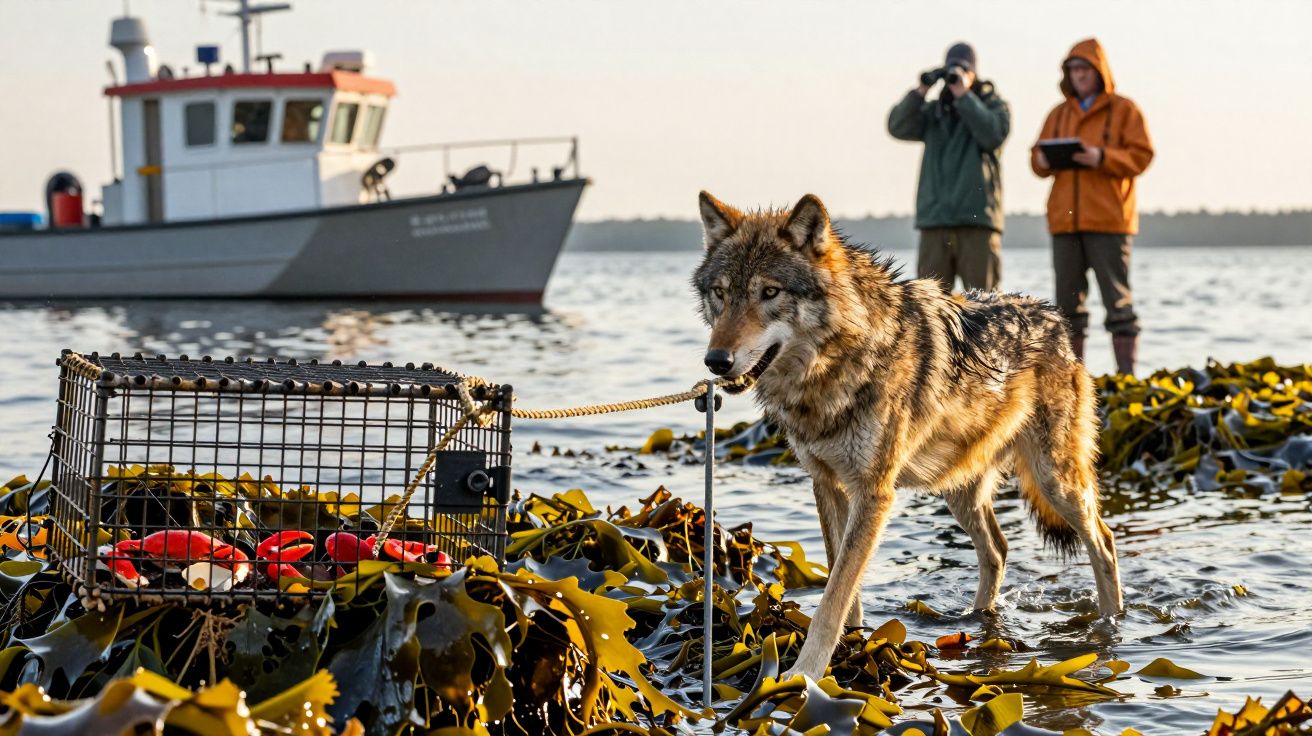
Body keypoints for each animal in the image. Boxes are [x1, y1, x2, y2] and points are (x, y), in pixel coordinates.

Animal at [692, 192, 1122, 681]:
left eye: (769, 292)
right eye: (720, 293)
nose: (716, 360)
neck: (835, 368)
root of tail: (1058, 322)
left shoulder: (874, 492)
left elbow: (832, 599)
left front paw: (805, 677)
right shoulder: (826, 483)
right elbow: (846, 590)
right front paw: (853, 649)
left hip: (1055, 482)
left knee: (1104, 542)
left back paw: (1111, 624)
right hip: (959, 488)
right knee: (997, 549)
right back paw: (975, 619)